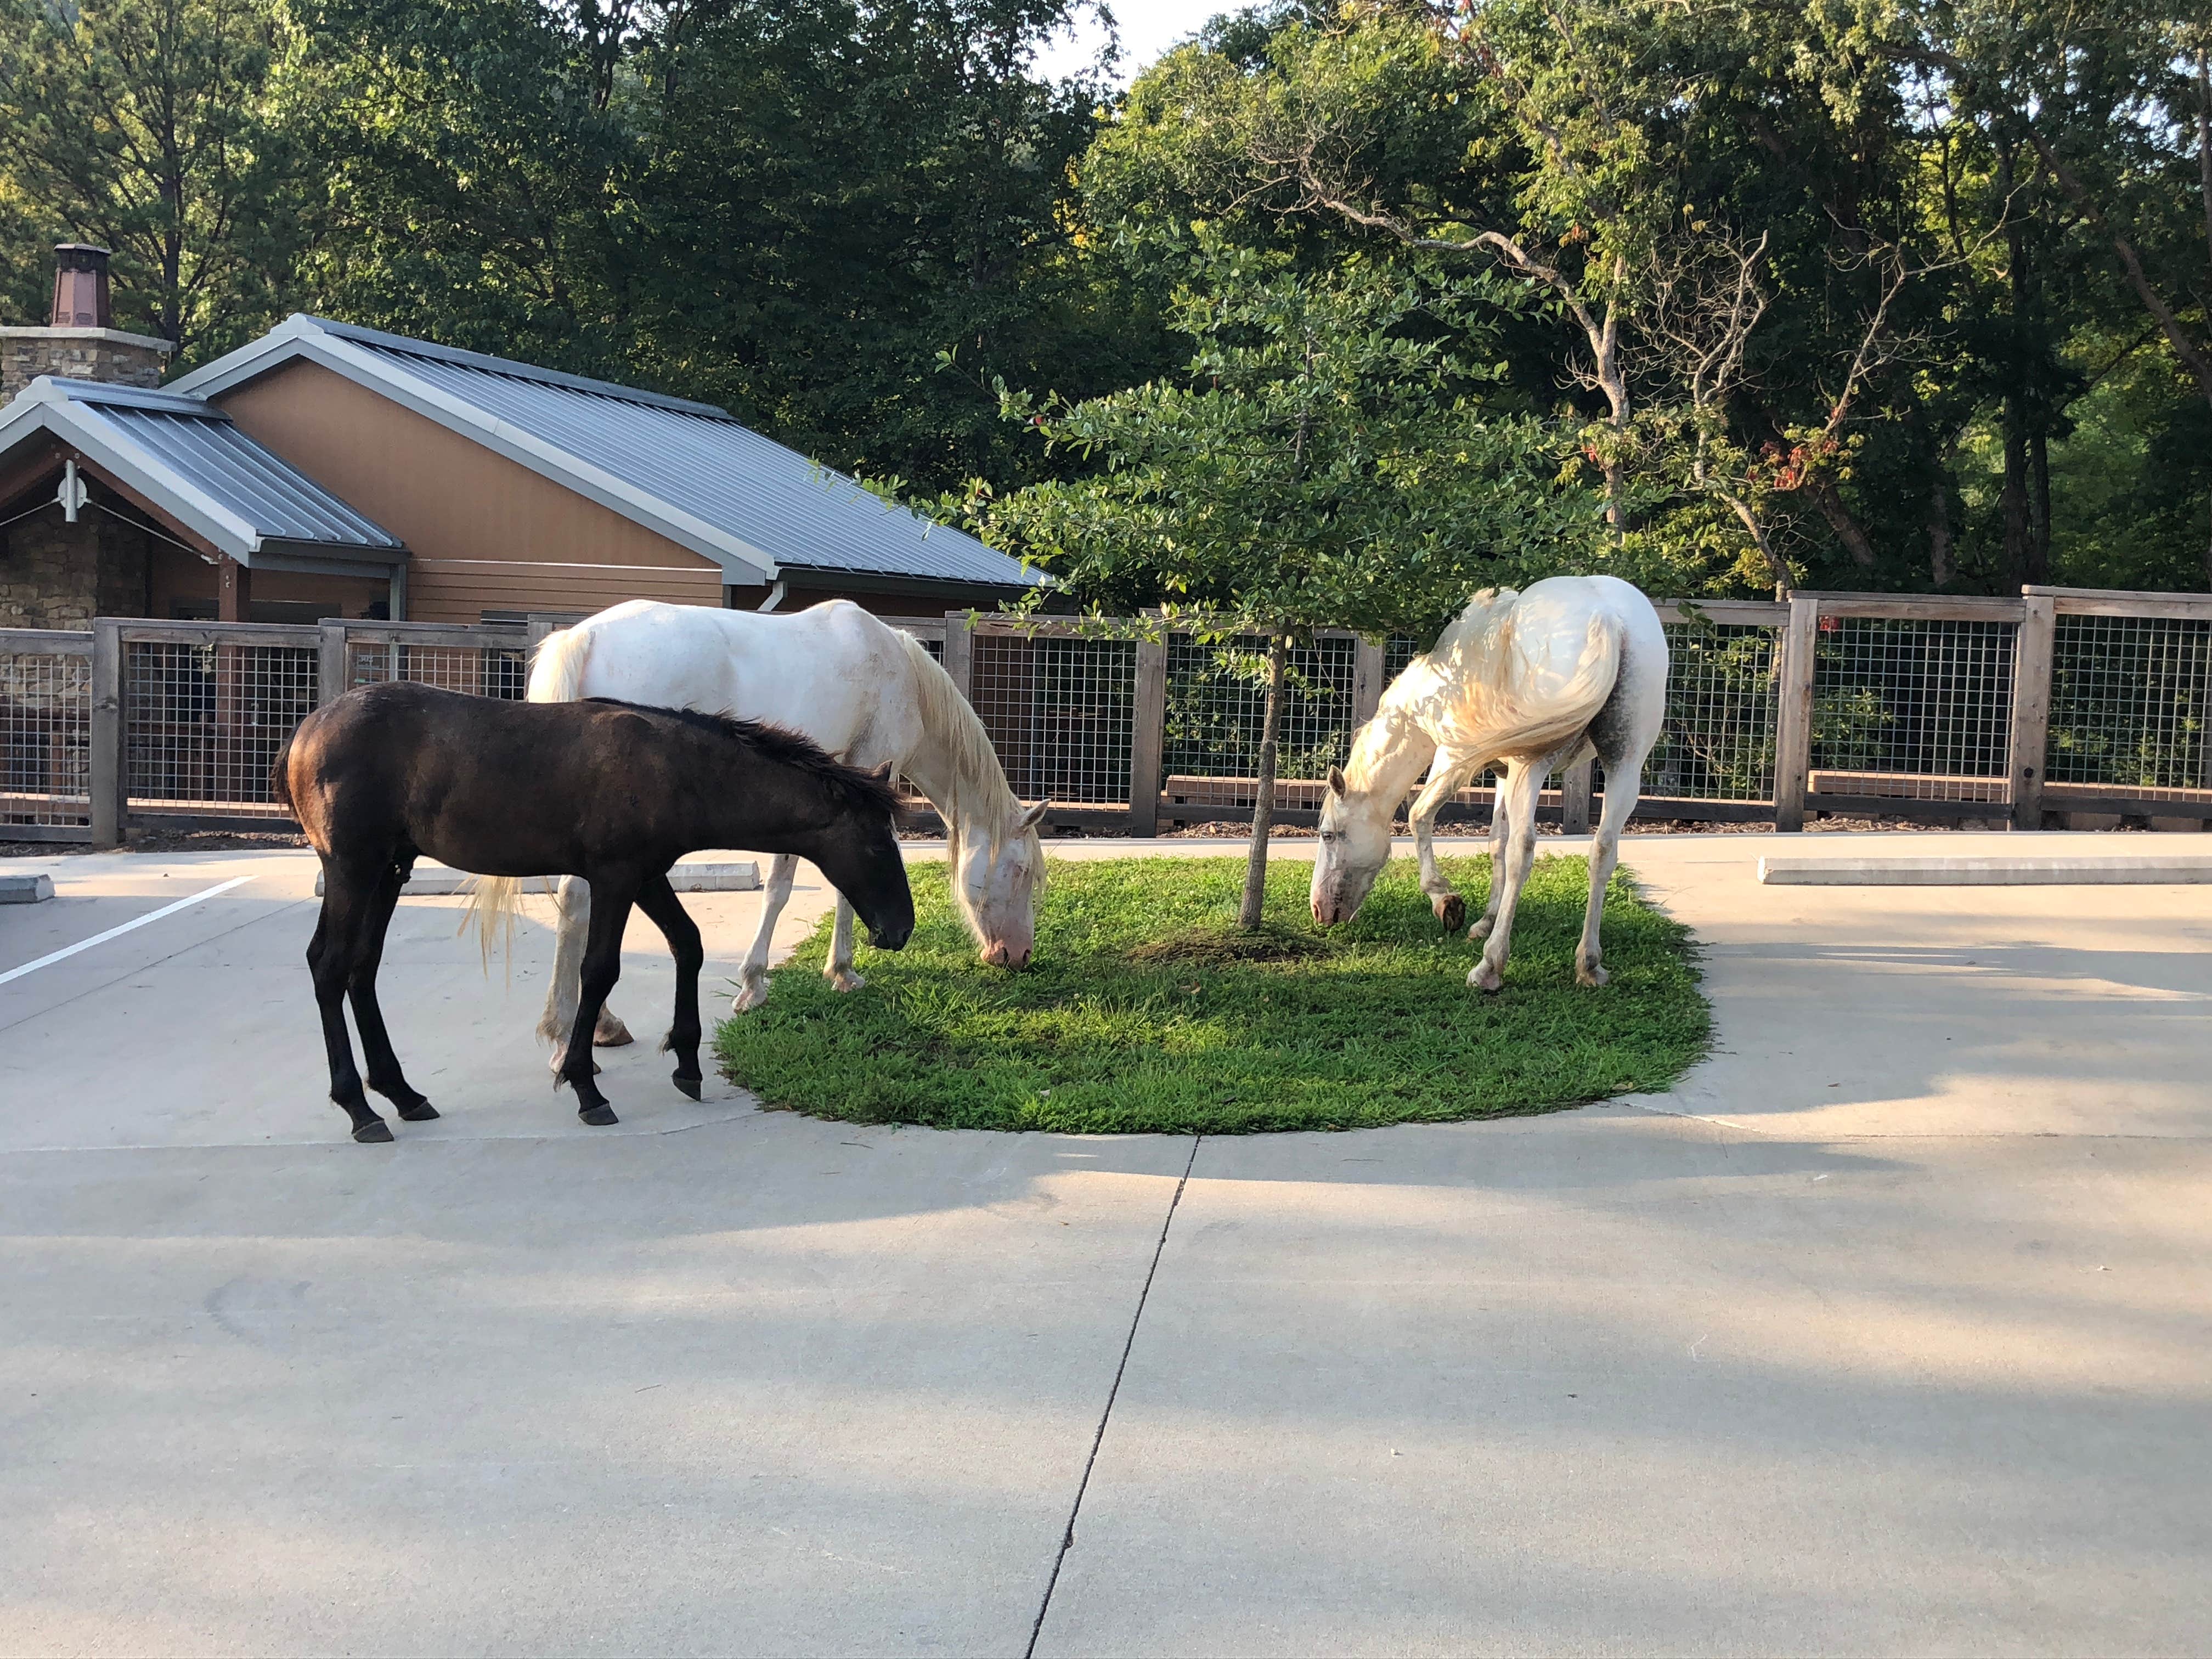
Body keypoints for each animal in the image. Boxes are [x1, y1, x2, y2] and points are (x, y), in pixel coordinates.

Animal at [275, 681, 914, 1143]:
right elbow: (600, 969)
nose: (899, 930)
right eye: (877, 845)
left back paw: (403, 1095)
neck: (673, 770)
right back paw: (360, 1109)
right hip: (353, 869)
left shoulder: (647, 876)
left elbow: (689, 944)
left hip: (388, 871)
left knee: (362, 968)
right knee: (330, 966)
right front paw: (585, 1087)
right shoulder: (614, 877)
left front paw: (687, 1063)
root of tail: (306, 729)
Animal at [486, 598, 1045, 1074]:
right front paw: (811, 976)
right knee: (579, 901)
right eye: (1020, 872)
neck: (899, 672)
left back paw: (598, 1025)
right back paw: (565, 1035)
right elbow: (812, 884)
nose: (1017, 957)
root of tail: (586, 637)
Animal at [1309, 576, 1669, 992]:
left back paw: (1490, 966)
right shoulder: (1503, 772)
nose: (1318, 910)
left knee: (1523, 850)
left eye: (1328, 835)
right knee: (1602, 850)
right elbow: (1496, 840)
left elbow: (1420, 816)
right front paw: (1485, 920)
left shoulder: (1453, 755)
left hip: (1535, 764)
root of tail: (1607, 617)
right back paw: (1589, 964)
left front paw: (1445, 902)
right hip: (1624, 764)